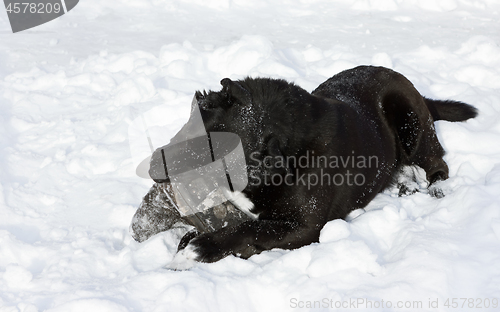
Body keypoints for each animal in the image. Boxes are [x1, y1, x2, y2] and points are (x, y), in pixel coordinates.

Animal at [151, 65, 476, 268]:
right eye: (191, 129)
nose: (154, 165)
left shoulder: (306, 228)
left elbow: (246, 228)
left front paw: (195, 251)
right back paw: (406, 185)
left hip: (411, 123)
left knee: (437, 164)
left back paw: (434, 189)